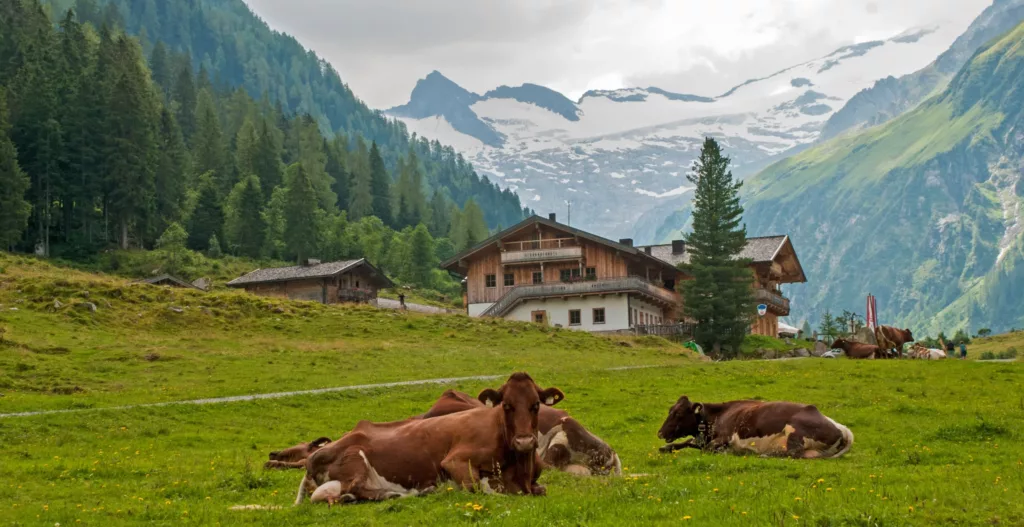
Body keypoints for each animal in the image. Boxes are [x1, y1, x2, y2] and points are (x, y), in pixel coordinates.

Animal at [296, 372, 565, 505]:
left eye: (536, 405)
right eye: (506, 405)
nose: (524, 442)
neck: (521, 471)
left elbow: (541, 489)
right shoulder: (455, 461)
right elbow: (478, 487)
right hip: (355, 458)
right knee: (356, 487)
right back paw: (398, 494)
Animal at [655, 397, 856, 458]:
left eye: (678, 414)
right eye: (670, 410)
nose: (660, 433)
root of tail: (844, 429)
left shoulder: (726, 437)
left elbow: (709, 449)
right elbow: (687, 442)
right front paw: (666, 447)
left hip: (794, 432)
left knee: (793, 453)